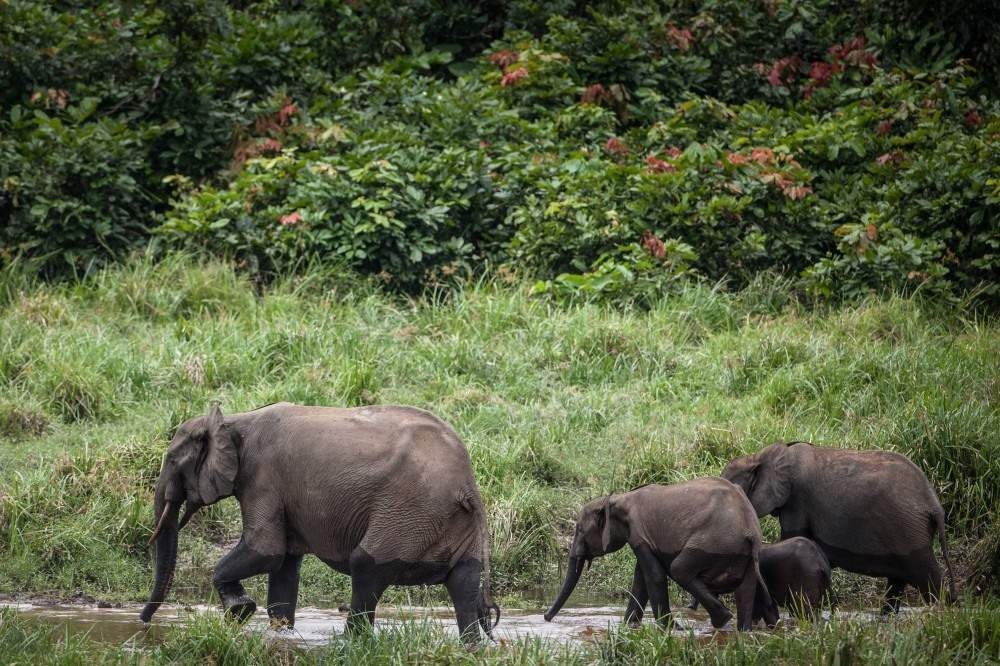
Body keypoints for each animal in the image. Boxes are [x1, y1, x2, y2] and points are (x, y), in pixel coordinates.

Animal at [139, 400, 498, 640]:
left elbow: (265, 550)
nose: (143, 621)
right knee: (464, 581)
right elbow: (284, 565)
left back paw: (350, 641)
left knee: (367, 566)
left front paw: (239, 611)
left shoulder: (263, 479)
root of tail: (467, 485)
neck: (233, 420)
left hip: (409, 511)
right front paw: (280, 635)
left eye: (172, 460)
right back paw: (472, 646)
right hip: (448, 519)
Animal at [544, 478, 776, 628]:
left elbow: (653, 576)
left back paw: (722, 620)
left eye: (579, 530)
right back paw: (742, 630)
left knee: (679, 569)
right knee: (746, 589)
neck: (619, 498)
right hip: (743, 554)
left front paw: (670, 630)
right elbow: (640, 581)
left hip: (715, 542)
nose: (545, 617)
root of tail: (751, 529)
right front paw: (628, 627)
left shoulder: (639, 532)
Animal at [724, 440, 956, 612]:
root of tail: (934, 504)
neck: (757, 457)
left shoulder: (797, 500)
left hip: (909, 530)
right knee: (897, 583)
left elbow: (792, 536)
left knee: (928, 579)